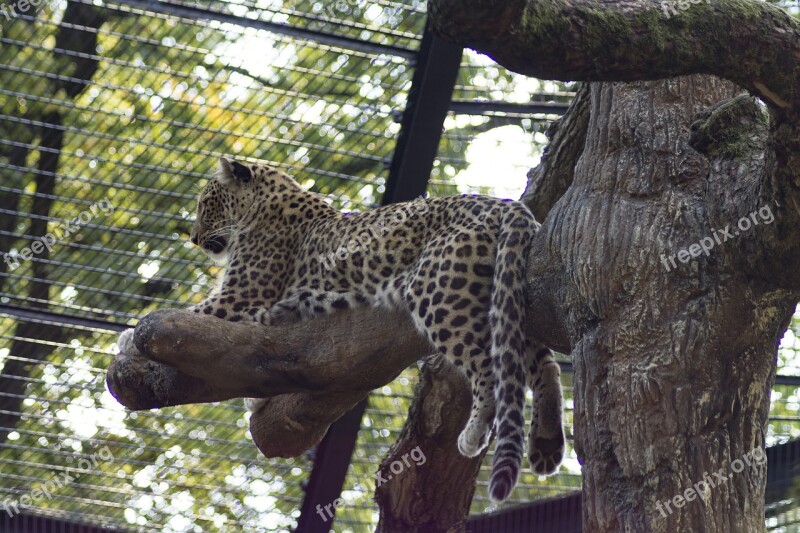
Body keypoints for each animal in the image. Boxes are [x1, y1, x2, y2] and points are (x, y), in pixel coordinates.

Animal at [122, 157, 564, 498]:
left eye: (206, 203)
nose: (195, 239)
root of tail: (503, 204)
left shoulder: (242, 297)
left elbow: (189, 311)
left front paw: (128, 337)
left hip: (440, 293)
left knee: (489, 368)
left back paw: (474, 435)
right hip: (510, 294)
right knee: (544, 365)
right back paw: (547, 444)